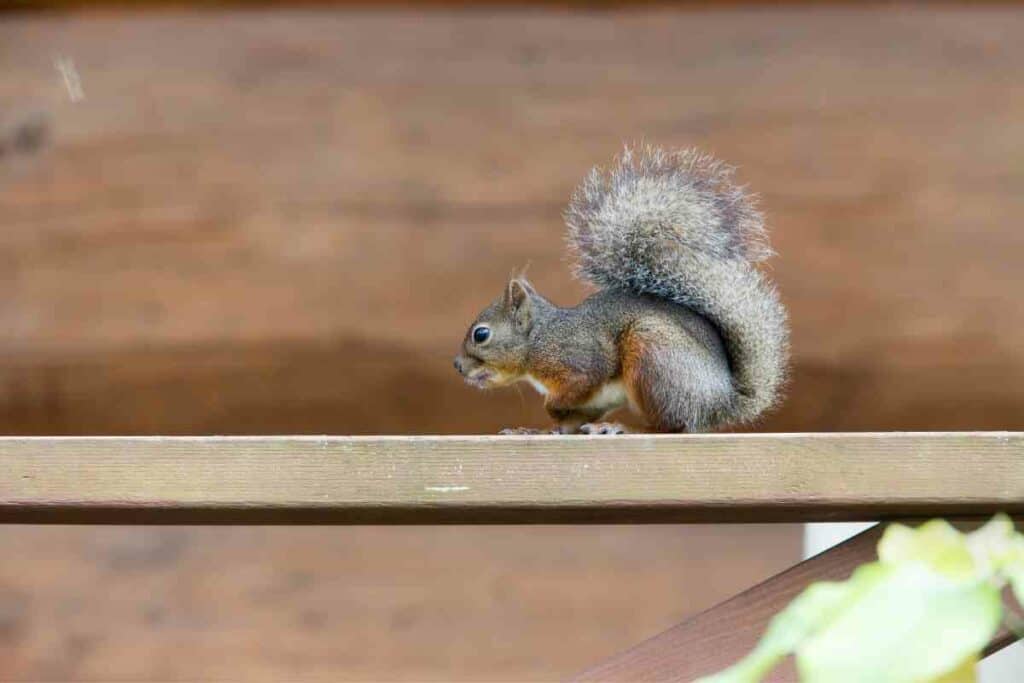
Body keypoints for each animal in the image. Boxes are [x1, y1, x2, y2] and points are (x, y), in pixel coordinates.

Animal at [452, 148, 786, 438]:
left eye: (481, 335)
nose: (457, 365)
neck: (539, 338)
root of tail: (721, 401)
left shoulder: (581, 358)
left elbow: (582, 380)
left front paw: (551, 408)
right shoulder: (589, 404)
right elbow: (566, 425)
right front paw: (532, 431)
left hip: (654, 356)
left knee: (672, 426)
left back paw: (622, 427)